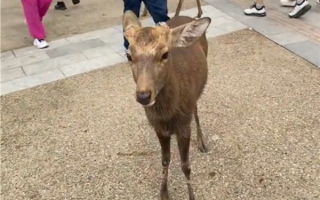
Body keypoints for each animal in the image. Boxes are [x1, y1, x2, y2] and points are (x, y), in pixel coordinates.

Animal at [124, 5, 211, 200]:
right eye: (129, 56)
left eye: (165, 54)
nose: (143, 96)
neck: (167, 116)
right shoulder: (158, 128)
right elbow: (165, 159)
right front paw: (163, 193)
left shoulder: (184, 126)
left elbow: (186, 165)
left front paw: (192, 196)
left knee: (196, 109)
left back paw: (202, 142)